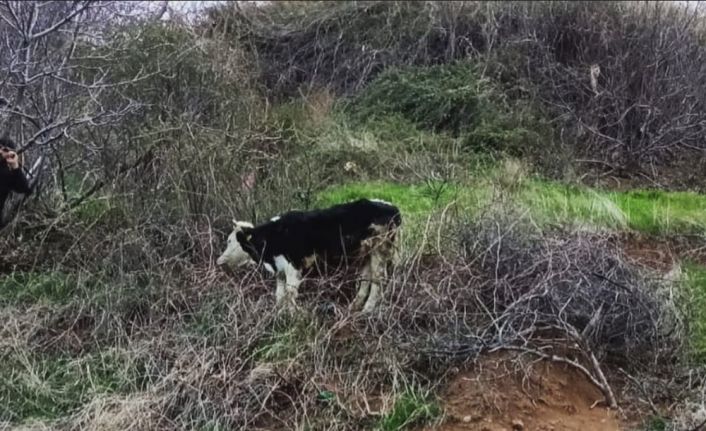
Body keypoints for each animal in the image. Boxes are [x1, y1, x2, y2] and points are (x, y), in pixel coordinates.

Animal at [217, 199, 398, 314]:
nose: (220, 261)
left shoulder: (293, 267)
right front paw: (279, 315)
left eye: (230, 241)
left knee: (378, 280)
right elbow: (280, 295)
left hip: (380, 250)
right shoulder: (280, 270)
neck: (272, 237)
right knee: (366, 278)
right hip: (366, 254)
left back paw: (368, 310)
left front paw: (295, 316)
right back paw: (355, 307)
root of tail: (392, 208)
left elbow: (290, 294)